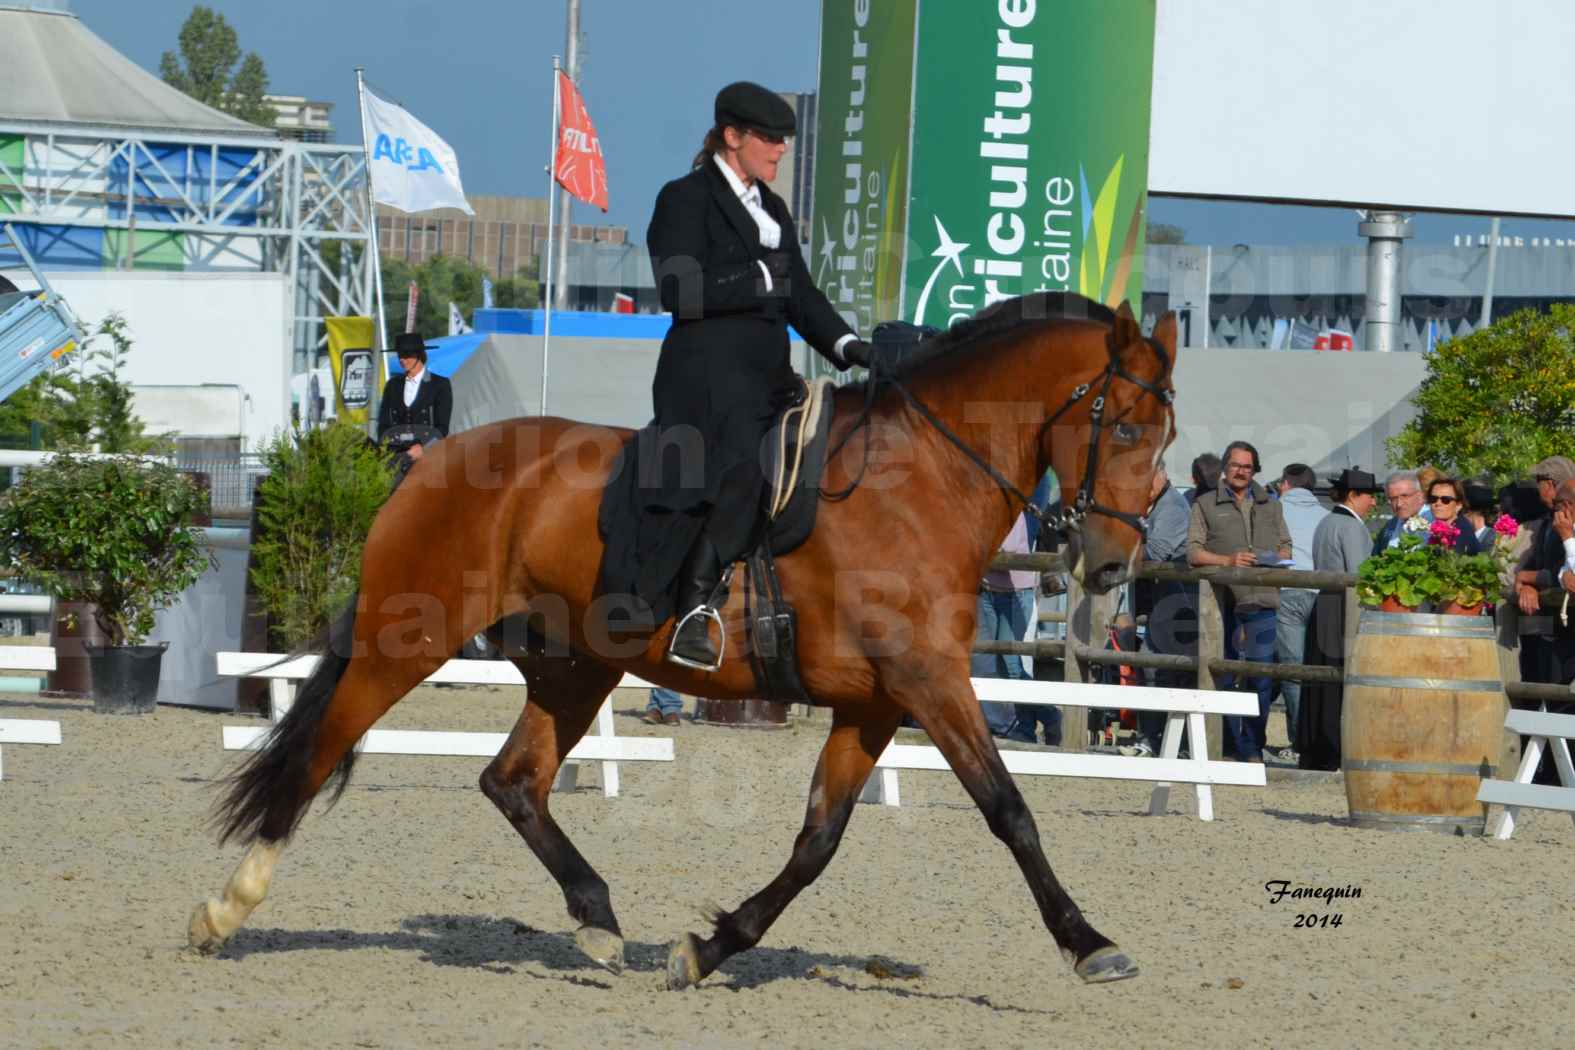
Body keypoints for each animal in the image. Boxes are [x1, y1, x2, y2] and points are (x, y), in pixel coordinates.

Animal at [190, 291, 1178, 988]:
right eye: (1126, 425)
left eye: (1165, 438)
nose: (1111, 564)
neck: (920, 482)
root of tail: (432, 462)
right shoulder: (929, 683)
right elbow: (1009, 810)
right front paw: (1091, 945)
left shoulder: (875, 703)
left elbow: (817, 842)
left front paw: (710, 948)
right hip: (410, 640)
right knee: (321, 746)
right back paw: (226, 909)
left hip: (575, 668)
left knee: (513, 781)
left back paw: (597, 920)